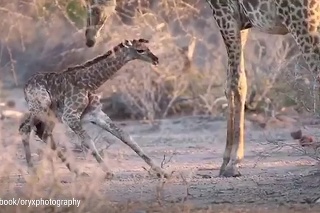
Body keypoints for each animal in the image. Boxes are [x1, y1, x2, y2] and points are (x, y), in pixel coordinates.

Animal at [19, 38, 170, 180]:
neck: (89, 83)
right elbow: (88, 141)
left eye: (148, 48)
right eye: (140, 50)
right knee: (25, 128)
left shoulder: (97, 114)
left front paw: (162, 172)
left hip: (51, 115)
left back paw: (77, 172)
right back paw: (33, 172)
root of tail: (25, 86)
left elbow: (126, 137)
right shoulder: (70, 116)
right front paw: (109, 172)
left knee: (43, 133)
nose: (156, 59)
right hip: (41, 107)